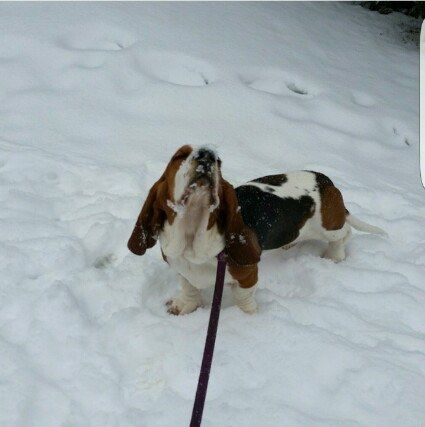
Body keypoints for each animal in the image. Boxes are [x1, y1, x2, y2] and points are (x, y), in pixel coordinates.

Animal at [126, 145, 384, 316]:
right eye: (179, 155)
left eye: (219, 162)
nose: (206, 153)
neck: (192, 238)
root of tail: (325, 181)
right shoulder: (182, 269)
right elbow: (189, 288)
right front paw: (185, 306)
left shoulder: (248, 275)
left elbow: (243, 298)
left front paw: (248, 318)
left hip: (327, 227)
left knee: (345, 232)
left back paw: (335, 256)